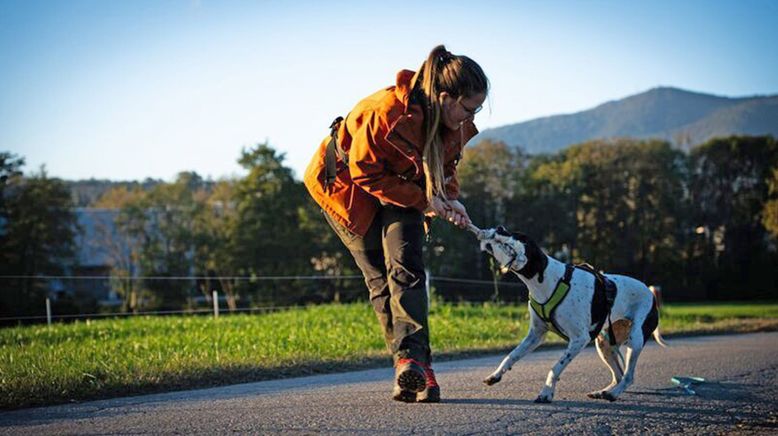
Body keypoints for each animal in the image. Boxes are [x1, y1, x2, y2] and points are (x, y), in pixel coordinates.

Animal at [470, 227, 664, 404]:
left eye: (507, 241)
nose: (498, 228)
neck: (547, 280)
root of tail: (651, 293)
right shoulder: (535, 335)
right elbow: (511, 355)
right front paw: (495, 375)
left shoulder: (579, 339)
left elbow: (555, 368)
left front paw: (546, 392)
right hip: (605, 344)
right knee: (618, 375)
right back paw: (603, 392)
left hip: (635, 339)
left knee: (629, 376)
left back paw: (613, 394)